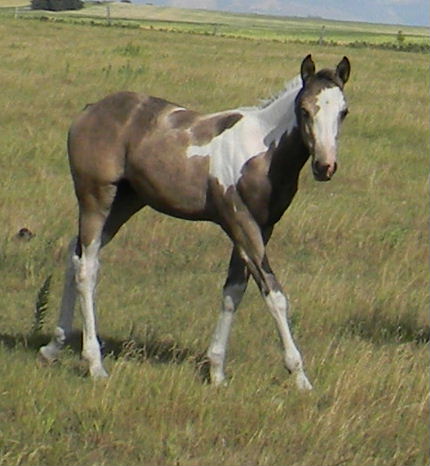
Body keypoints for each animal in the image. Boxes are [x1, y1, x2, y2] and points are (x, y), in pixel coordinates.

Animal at [40, 54, 351, 390]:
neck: (263, 151)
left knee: (76, 253)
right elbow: (274, 294)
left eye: (343, 112)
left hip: (125, 203)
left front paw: (216, 371)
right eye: (304, 109)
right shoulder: (240, 222)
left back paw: (53, 346)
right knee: (87, 267)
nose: (325, 166)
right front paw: (300, 376)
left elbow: (234, 291)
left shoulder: (262, 228)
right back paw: (95, 364)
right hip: (96, 199)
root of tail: (90, 110)